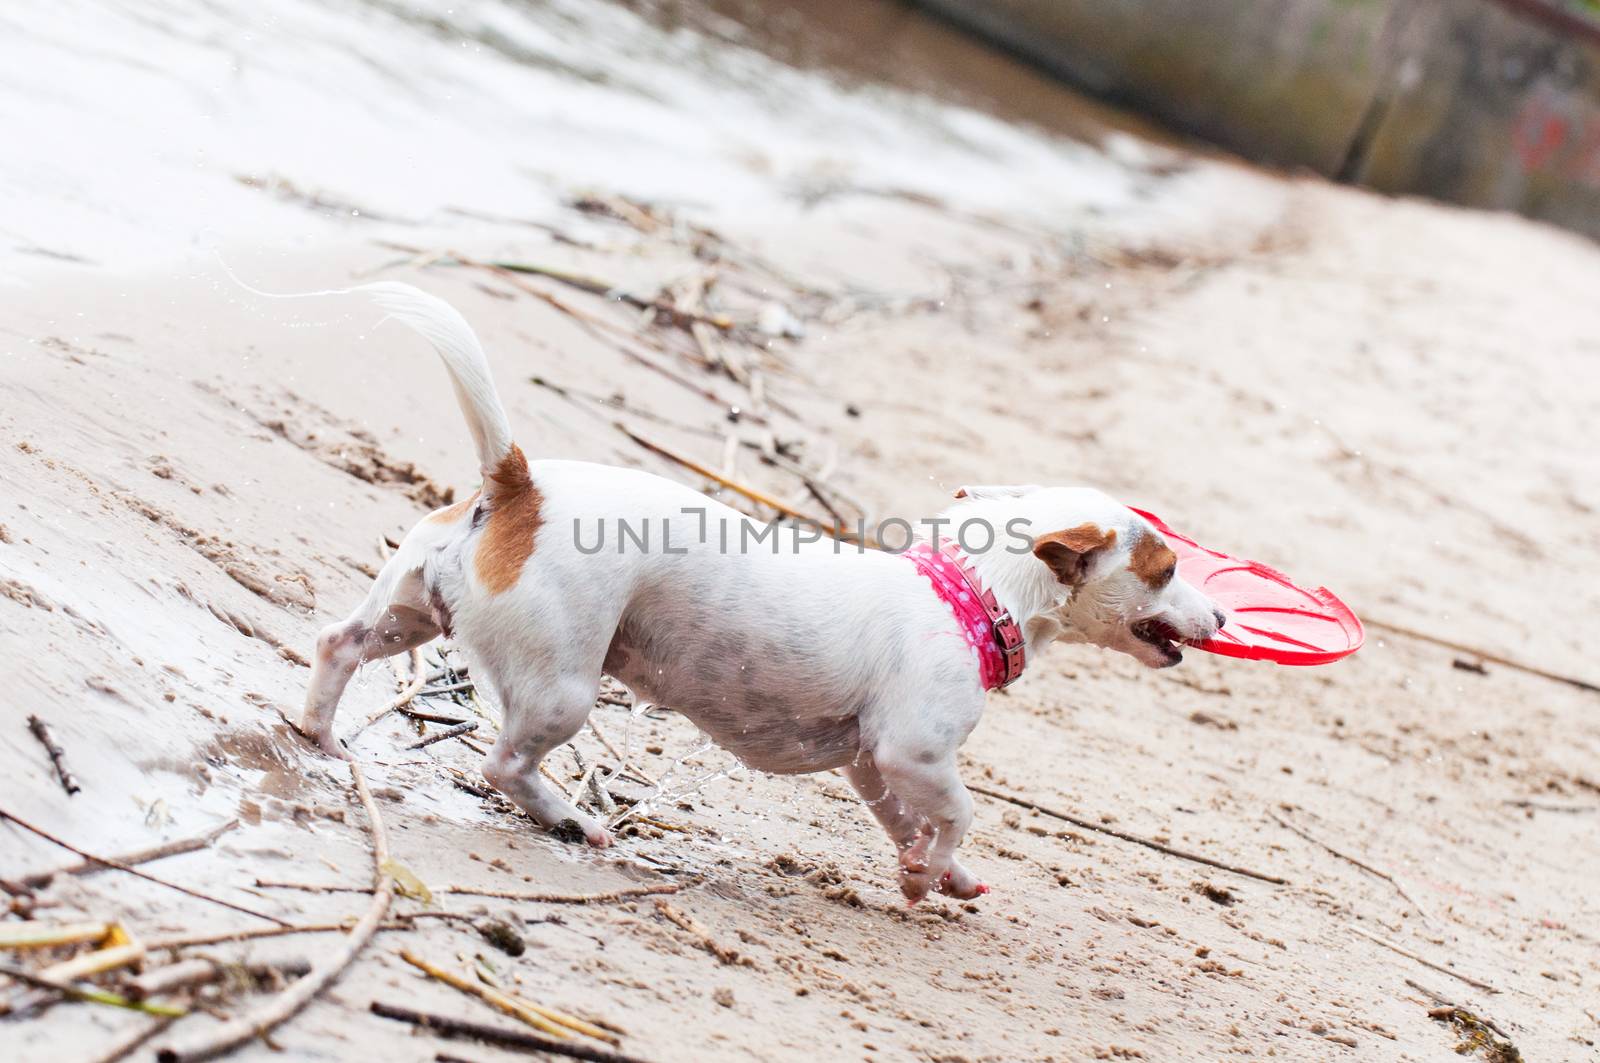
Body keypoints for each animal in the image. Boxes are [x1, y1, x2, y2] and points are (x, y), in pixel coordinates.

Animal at [302, 286, 1222, 902]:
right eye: (1167, 568)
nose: (1221, 614)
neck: (969, 589)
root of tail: (520, 485)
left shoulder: (874, 764)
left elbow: (909, 820)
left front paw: (941, 875)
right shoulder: (913, 752)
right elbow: (957, 811)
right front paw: (929, 871)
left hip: (409, 611)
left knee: (340, 644)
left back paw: (319, 736)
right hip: (562, 688)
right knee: (502, 762)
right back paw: (570, 818)